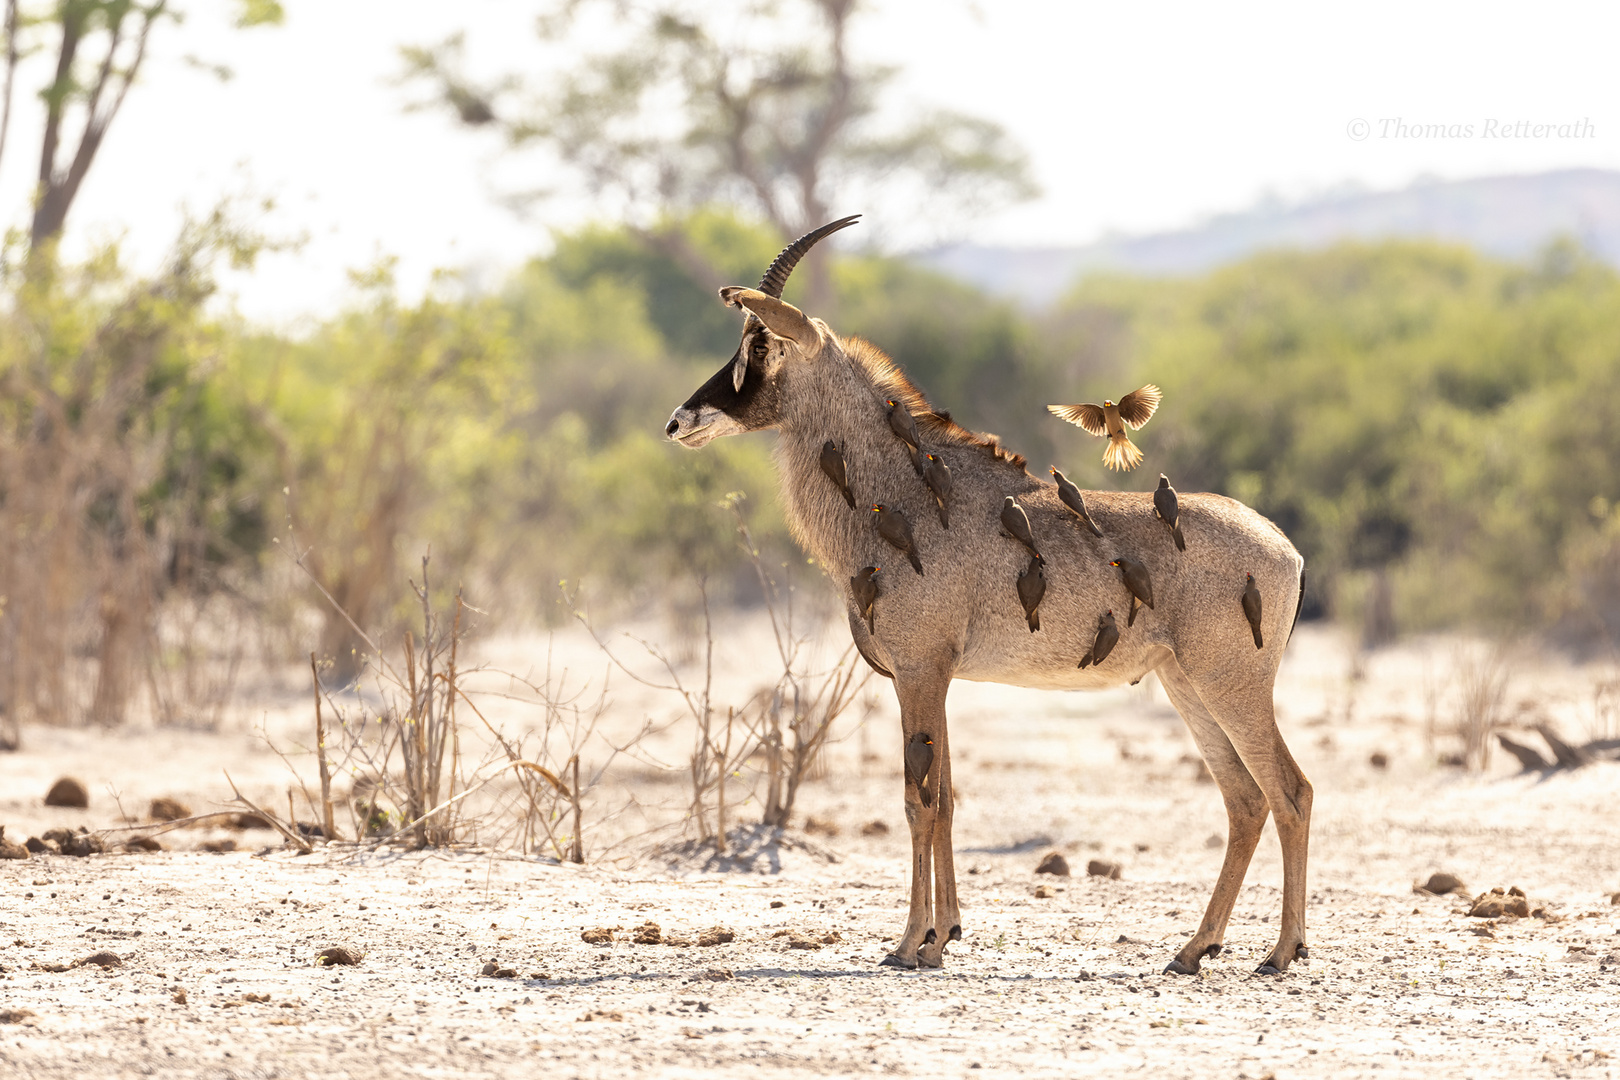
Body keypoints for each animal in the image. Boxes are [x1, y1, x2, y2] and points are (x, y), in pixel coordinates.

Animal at [664, 220, 1308, 977]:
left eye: (760, 343)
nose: (679, 421)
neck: (904, 492)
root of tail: (1287, 551)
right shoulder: (932, 677)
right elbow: (946, 798)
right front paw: (942, 936)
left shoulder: (918, 671)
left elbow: (919, 800)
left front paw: (909, 942)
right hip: (1187, 685)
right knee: (1245, 799)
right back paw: (1194, 948)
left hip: (1230, 682)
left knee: (1289, 791)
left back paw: (1281, 951)